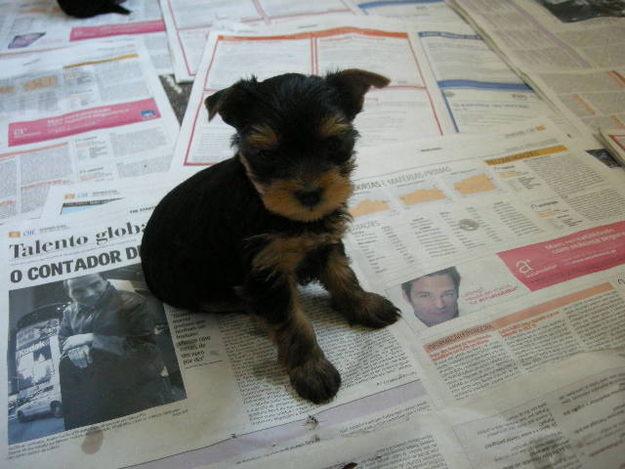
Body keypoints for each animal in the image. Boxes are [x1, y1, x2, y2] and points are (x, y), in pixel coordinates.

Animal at [141, 69, 400, 402]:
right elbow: (293, 322)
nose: (310, 194)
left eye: (333, 144)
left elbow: (343, 275)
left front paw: (364, 304)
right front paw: (311, 370)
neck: (284, 216)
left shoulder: (326, 240)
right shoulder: (266, 272)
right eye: (266, 154)